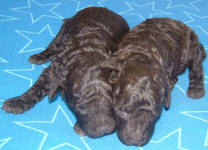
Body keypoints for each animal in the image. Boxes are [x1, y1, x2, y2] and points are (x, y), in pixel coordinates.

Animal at [2, 6, 129, 138]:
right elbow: (37, 87)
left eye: (112, 97)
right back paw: (39, 56)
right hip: (64, 30)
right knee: (53, 45)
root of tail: (104, 8)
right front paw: (17, 102)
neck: (87, 54)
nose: (105, 129)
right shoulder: (54, 70)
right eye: (78, 102)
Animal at [106, 17, 206, 146]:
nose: (135, 140)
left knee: (197, 65)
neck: (141, 57)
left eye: (155, 114)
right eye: (121, 111)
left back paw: (196, 88)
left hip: (191, 48)